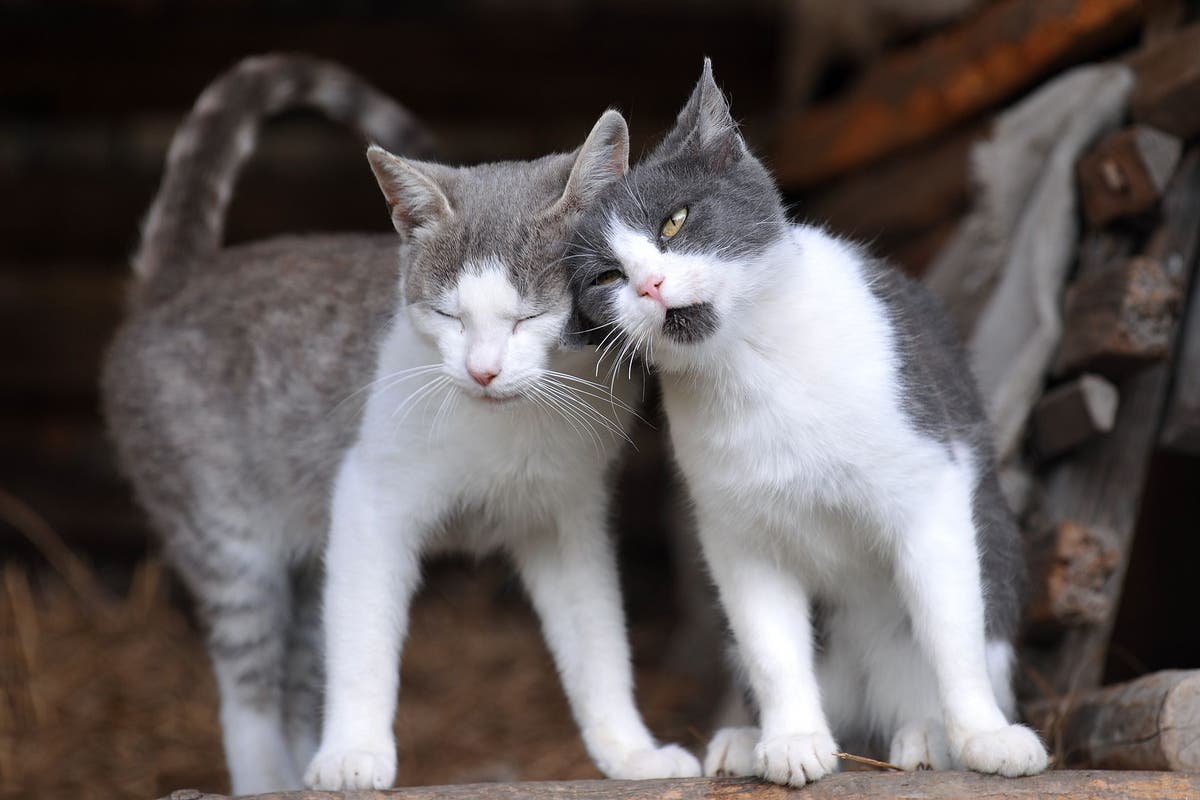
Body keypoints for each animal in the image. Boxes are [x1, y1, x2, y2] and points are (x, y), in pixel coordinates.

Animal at [104, 54, 700, 796]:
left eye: (530, 317)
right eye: (447, 314)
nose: (481, 371)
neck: (508, 426)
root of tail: (175, 282)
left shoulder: (567, 517)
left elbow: (597, 641)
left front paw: (631, 753)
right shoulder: (368, 498)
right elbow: (362, 636)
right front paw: (353, 752)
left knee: (297, 669)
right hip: (224, 535)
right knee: (249, 683)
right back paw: (268, 775)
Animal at [566, 62, 1046, 786]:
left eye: (675, 222)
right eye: (605, 277)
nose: (649, 286)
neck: (754, 362)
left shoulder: (931, 493)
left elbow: (953, 629)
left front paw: (984, 736)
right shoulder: (737, 535)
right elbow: (771, 645)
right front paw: (791, 739)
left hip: (991, 533)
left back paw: (926, 735)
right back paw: (745, 739)